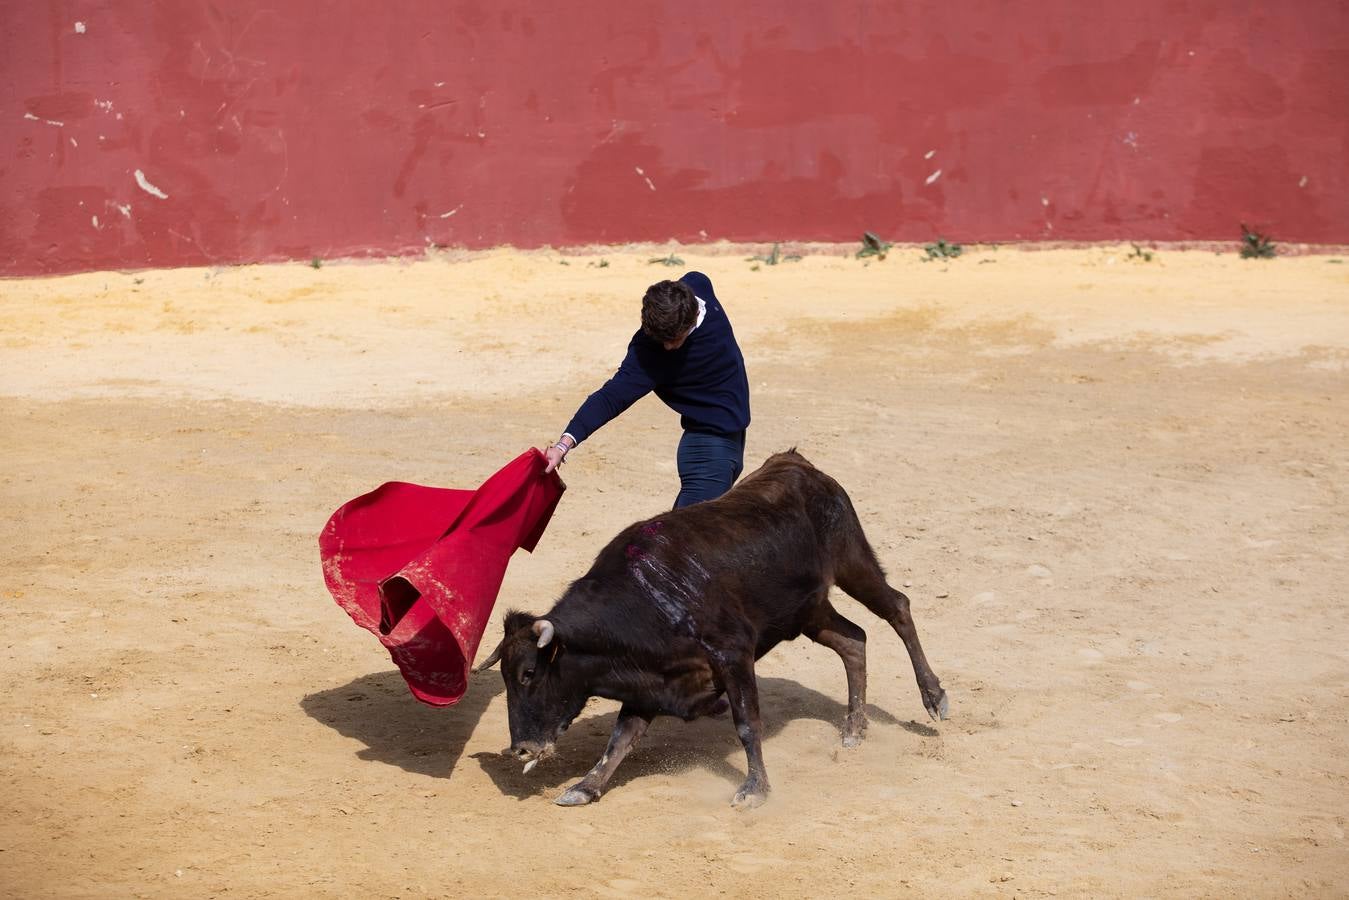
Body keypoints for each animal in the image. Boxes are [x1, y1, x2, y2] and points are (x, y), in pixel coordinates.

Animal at [477, 450, 949, 809]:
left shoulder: (733, 655)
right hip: (808, 612)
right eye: (507, 677)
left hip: (854, 562)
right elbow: (621, 739)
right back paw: (853, 730)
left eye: (530, 674)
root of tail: (798, 463)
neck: (648, 596)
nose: (520, 748)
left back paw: (934, 698)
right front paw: (584, 788)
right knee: (853, 641)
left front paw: (754, 790)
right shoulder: (650, 682)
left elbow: (747, 722)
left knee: (898, 609)